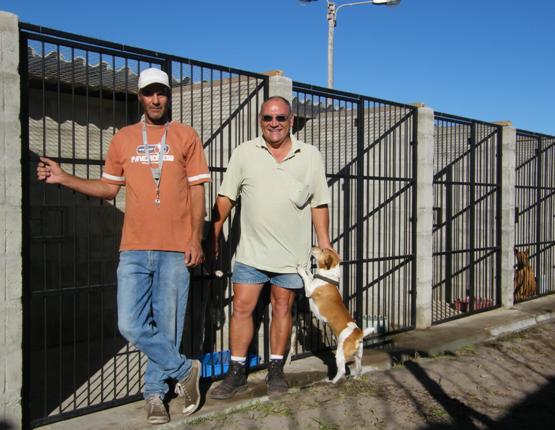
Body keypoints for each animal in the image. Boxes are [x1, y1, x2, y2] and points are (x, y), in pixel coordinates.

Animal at [297, 246, 376, 383]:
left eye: (322, 250)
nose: (313, 245)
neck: (327, 277)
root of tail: (358, 334)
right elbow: (310, 274)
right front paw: (307, 268)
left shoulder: (310, 289)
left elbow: (306, 278)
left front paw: (301, 269)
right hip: (358, 356)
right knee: (359, 367)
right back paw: (356, 377)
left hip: (340, 354)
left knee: (342, 370)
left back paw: (332, 382)